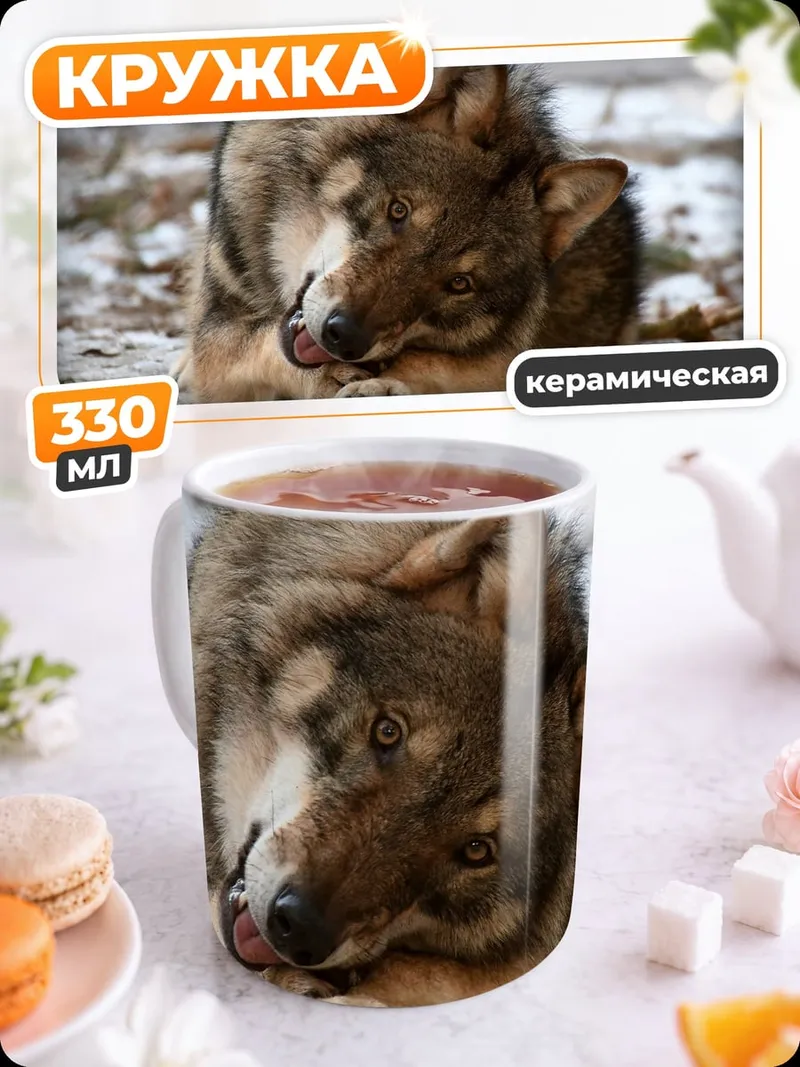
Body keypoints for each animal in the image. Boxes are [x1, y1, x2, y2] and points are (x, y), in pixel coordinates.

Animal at [175, 64, 643, 403]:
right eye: (398, 210)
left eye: (459, 283)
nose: (344, 337)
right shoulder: (217, 333)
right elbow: (254, 346)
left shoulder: (505, 354)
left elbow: (441, 366)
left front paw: (384, 383)